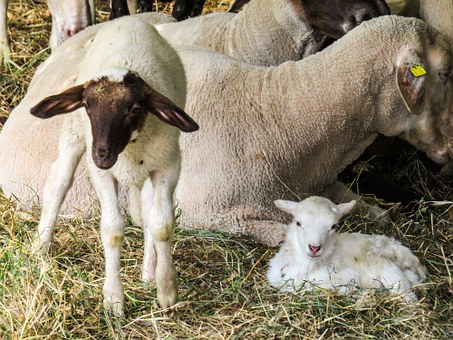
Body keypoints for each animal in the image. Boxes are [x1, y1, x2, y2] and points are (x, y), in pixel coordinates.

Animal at [29, 15, 197, 318]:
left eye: (135, 109)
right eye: (87, 105)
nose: (101, 155)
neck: (128, 150)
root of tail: (131, 19)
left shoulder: (168, 166)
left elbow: (162, 224)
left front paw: (166, 290)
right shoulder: (101, 175)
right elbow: (113, 229)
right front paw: (114, 299)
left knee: (146, 210)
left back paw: (148, 272)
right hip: (73, 135)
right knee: (58, 183)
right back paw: (41, 246)